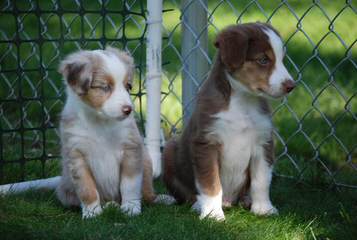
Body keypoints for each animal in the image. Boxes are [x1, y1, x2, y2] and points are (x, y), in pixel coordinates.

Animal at [56, 46, 162, 218]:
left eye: (128, 86)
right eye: (105, 87)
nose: (128, 110)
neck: (100, 122)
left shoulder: (130, 149)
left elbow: (129, 184)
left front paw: (131, 208)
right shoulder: (76, 155)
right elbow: (87, 188)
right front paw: (92, 213)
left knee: (148, 195)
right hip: (64, 189)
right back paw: (109, 205)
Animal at [163, 23, 294, 220]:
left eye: (282, 59)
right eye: (263, 60)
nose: (291, 86)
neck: (243, 101)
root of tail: (230, 201)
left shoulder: (263, 142)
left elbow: (262, 180)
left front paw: (264, 208)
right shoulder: (207, 142)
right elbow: (211, 182)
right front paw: (212, 214)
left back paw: (247, 200)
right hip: (170, 151)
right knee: (186, 193)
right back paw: (198, 205)